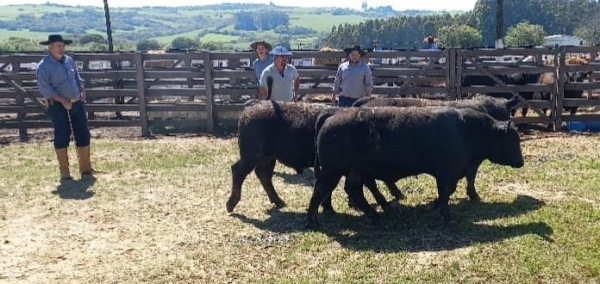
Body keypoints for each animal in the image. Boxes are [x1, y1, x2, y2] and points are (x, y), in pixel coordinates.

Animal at [310, 106, 524, 229]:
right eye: (513, 141)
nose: (521, 162)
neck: (465, 130)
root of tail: (332, 115)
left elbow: (448, 192)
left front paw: (435, 205)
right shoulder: (446, 174)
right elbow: (445, 193)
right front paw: (447, 216)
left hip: (353, 171)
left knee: (354, 190)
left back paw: (375, 214)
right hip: (332, 171)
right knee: (321, 189)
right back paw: (312, 220)